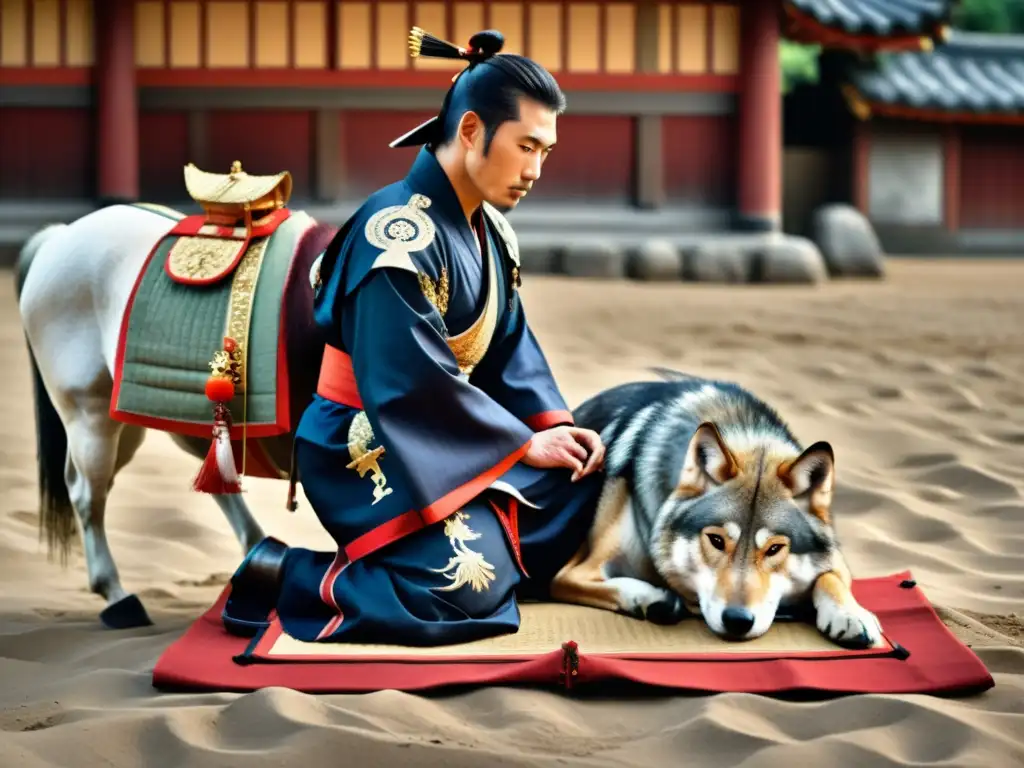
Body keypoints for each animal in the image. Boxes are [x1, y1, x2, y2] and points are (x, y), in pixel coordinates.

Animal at [557, 370, 884, 651]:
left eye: (774, 549)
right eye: (716, 540)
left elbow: (831, 578)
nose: (738, 621)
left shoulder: (835, 558)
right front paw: (653, 596)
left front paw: (851, 615)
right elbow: (569, 580)